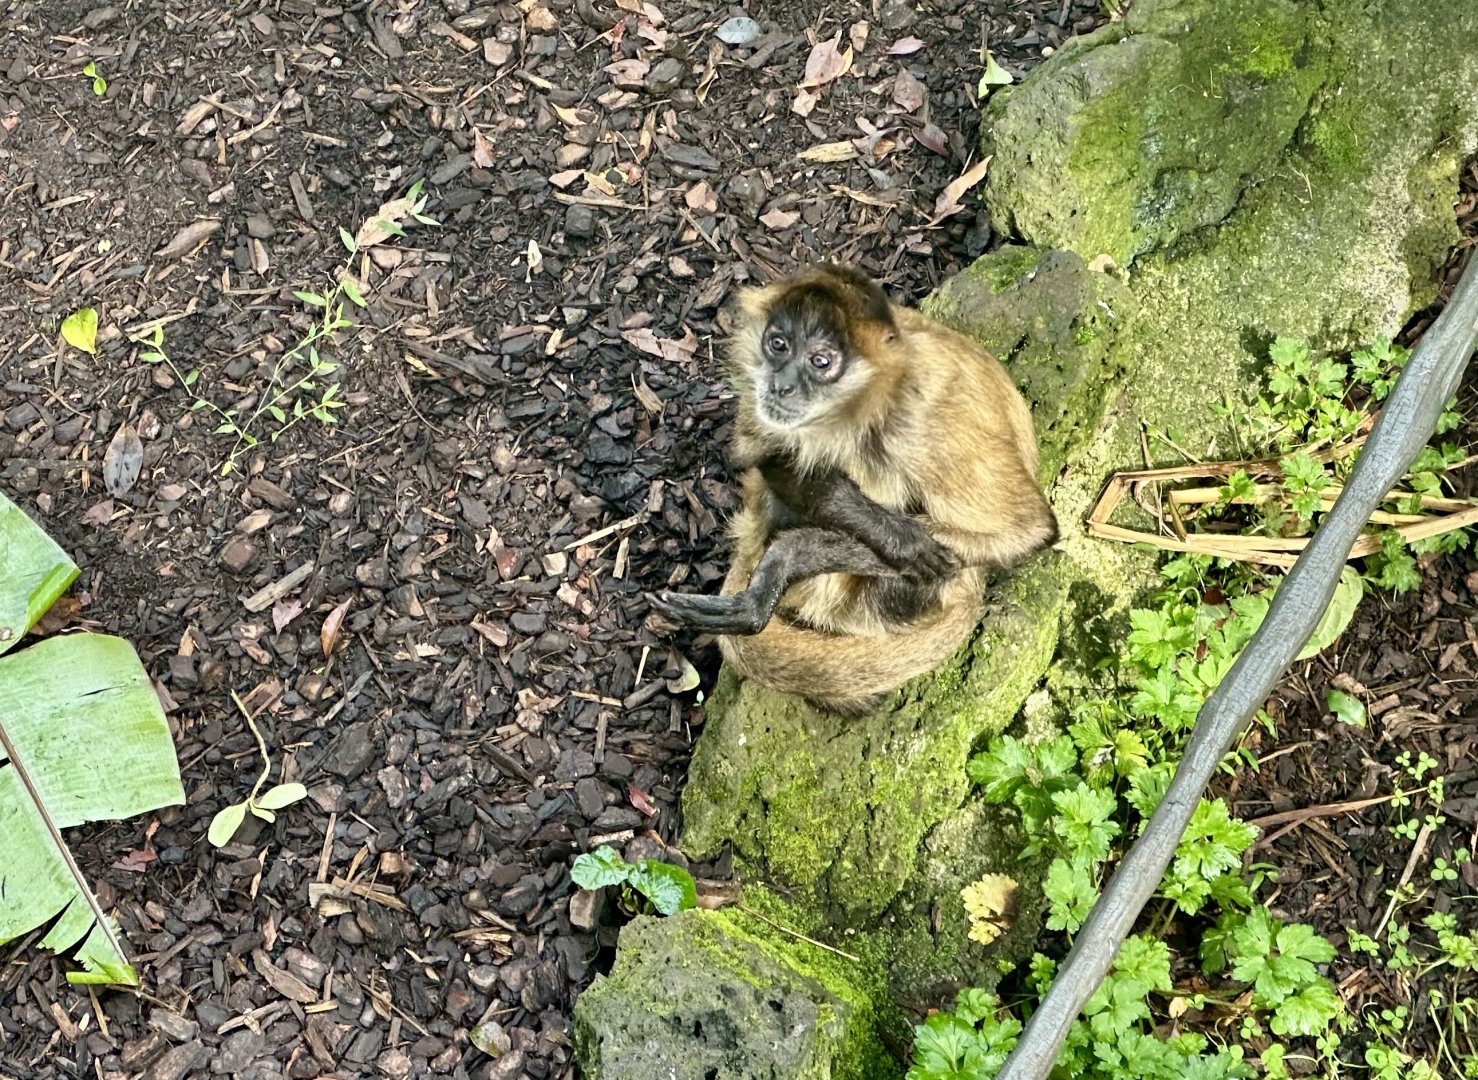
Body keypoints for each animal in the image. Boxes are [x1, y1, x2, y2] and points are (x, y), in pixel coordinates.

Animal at [648, 264, 1058, 716]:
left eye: (821, 362)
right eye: (778, 344)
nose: (781, 385)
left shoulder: (919, 423)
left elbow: (1027, 532)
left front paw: (788, 560)